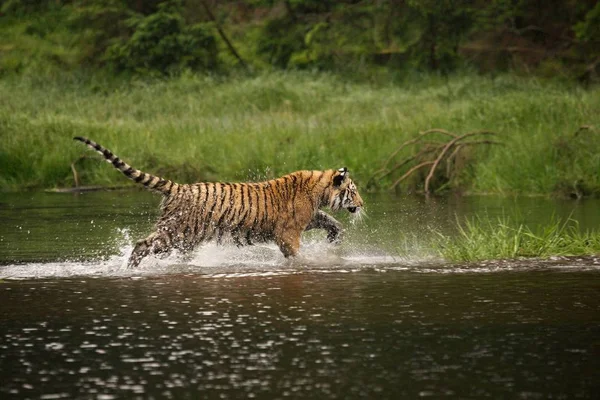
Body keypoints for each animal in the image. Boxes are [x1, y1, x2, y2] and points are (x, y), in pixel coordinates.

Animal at [75, 136, 366, 268]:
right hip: (174, 232)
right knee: (141, 244)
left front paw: (334, 240)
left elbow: (332, 221)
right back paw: (130, 268)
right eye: (352, 191)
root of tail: (179, 187)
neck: (319, 189)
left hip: (185, 238)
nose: (362, 205)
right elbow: (295, 253)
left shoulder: (309, 218)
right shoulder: (288, 232)